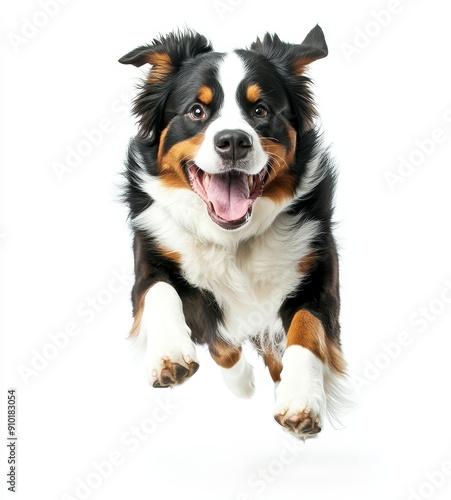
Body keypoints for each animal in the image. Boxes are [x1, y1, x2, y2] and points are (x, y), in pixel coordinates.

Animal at [118, 25, 348, 438]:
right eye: (197, 111)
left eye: (260, 111)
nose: (234, 142)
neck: (232, 238)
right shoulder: (150, 256)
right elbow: (164, 295)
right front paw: (171, 356)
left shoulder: (319, 268)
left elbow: (306, 329)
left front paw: (300, 398)